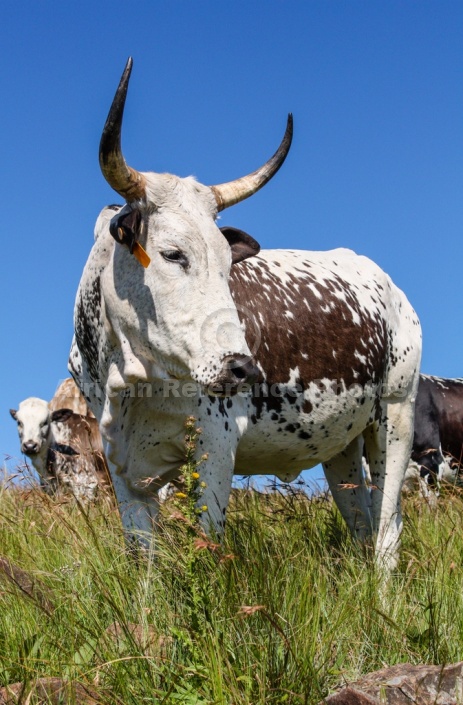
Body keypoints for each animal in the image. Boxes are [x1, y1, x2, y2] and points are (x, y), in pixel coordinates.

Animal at [70, 57, 424, 568]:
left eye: (226, 261)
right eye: (173, 254)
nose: (242, 368)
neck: (129, 377)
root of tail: (390, 287)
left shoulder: (215, 447)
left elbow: (207, 545)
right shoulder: (122, 466)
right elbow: (143, 562)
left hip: (396, 417)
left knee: (386, 532)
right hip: (341, 443)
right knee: (362, 522)